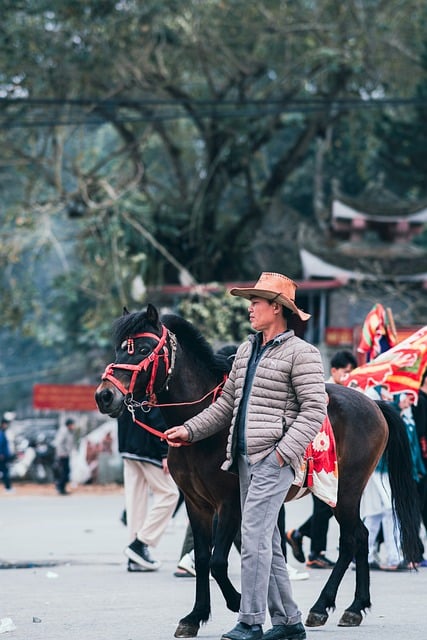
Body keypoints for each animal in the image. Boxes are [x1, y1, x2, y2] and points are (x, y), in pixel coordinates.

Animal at [96, 308, 422, 636]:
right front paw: (195, 616)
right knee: (361, 536)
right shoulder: (195, 503)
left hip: (347, 490)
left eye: (143, 349)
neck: (201, 427)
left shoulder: (230, 502)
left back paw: (330, 607)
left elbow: (217, 561)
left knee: (352, 539)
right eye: (119, 348)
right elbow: (202, 559)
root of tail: (374, 404)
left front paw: (236, 601)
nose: (104, 395)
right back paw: (350, 606)